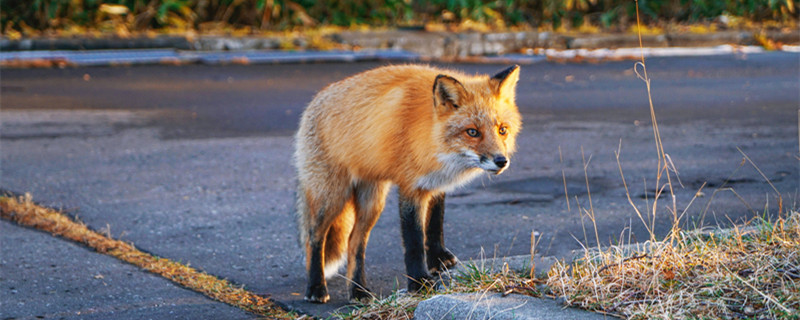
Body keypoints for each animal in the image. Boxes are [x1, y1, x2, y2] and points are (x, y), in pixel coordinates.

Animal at [292, 64, 520, 302]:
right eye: (473, 132)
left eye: (502, 130)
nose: (501, 161)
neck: (432, 138)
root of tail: (315, 100)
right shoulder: (411, 188)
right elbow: (414, 241)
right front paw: (419, 282)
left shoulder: (436, 184)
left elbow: (435, 224)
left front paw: (438, 258)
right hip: (332, 197)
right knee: (314, 238)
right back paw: (316, 287)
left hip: (372, 202)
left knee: (354, 242)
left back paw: (358, 290)